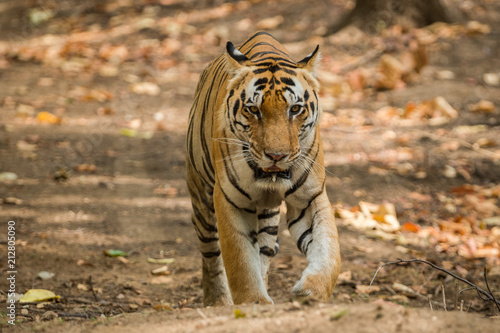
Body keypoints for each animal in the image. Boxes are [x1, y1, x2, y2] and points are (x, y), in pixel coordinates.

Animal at [186, 31, 342, 306]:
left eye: (295, 109)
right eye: (253, 109)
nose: (276, 156)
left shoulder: (310, 198)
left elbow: (330, 251)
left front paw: (312, 292)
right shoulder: (230, 200)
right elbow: (240, 261)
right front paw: (253, 302)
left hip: (268, 219)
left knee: (264, 250)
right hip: (201, 198)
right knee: (211, 254)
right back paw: (217, 301)